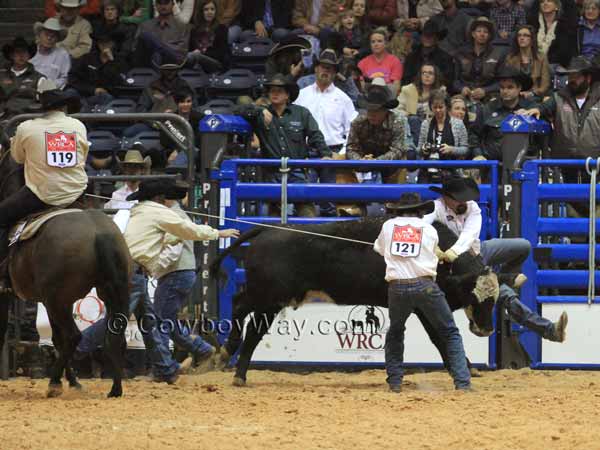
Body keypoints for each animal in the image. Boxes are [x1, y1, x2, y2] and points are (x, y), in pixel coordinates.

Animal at [0, 151, 131, 398]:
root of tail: (99, 232)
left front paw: (65, 381)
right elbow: (55, 340)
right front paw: (73, 380)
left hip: (56, 300)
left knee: (73, 336)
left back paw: (53, 383)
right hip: (110, 292)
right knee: (114, 337)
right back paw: (115, 388)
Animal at [211, 219, 496, 386]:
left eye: (494, 300)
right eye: (474, 297)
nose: (487, 330)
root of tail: (268, 229)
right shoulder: (424, 306)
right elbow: (440, 337)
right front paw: (466, 367)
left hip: (267, 297)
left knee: (245, 315)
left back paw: (232, 363)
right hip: (268, 296)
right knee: (245, 317)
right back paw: (233, 362)